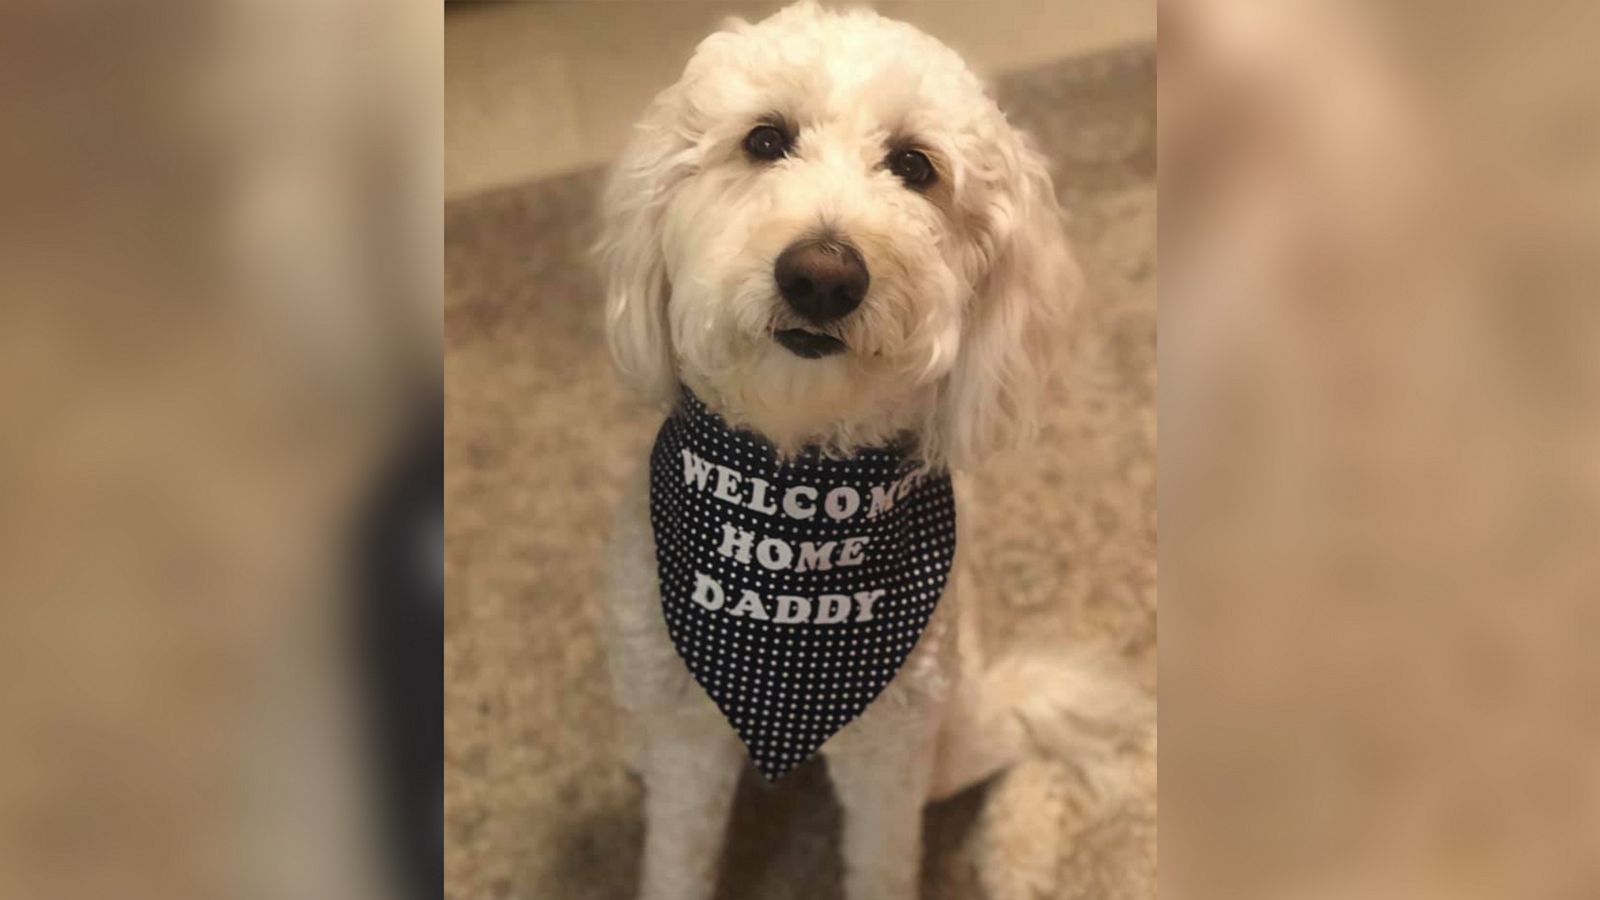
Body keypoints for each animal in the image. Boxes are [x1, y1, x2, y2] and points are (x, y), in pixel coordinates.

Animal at [601, 3, 1139, 890]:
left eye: (914, 166)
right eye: (766, 139)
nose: (822, 276)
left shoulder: (889, 752)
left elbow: (883, 859)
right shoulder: (688, 738)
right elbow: (677, 854)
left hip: (953, 731)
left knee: (1023, 741)